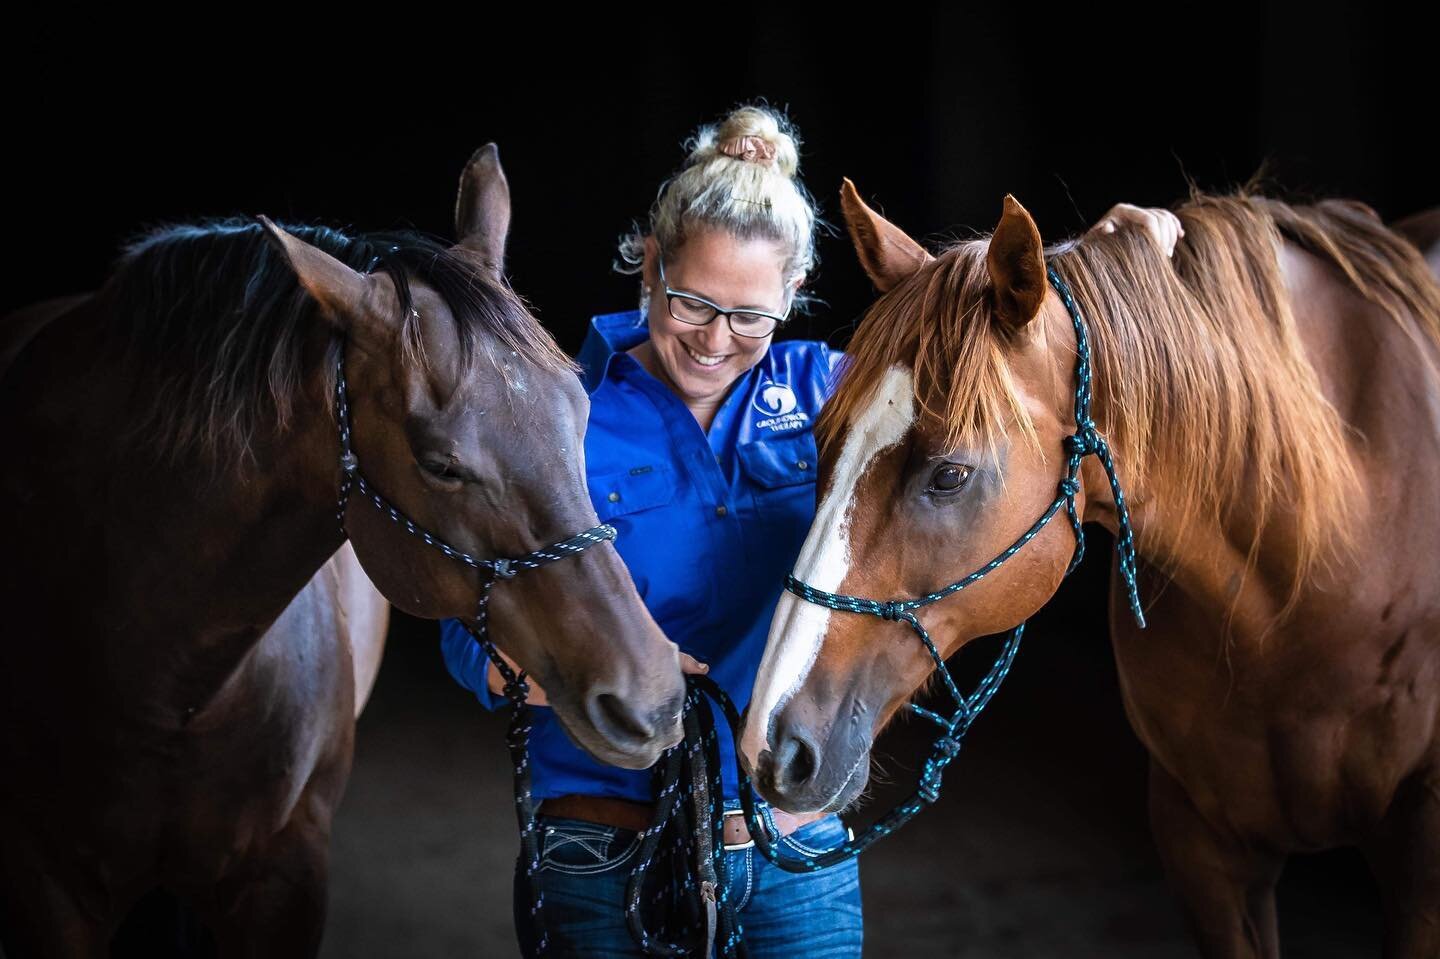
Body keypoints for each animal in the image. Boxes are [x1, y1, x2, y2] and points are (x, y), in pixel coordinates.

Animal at [0, 145, 685, 950]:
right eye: (441, 463)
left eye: (578, 410)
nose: (652, 696)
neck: (166, 683)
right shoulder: (43, 887)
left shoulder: (285, 876)